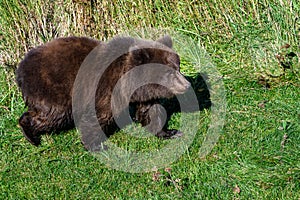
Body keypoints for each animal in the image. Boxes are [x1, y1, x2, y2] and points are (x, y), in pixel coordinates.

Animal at [15, 35, 190, 150]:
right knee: (53, 114)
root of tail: (20, 69)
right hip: (52, 87)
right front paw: (97, 146)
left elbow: (151, 111)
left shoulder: (144, 94)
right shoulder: (106, 88)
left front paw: (170, 132)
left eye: (178, 67)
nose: (187, 85)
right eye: (169, 73)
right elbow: (99, 115)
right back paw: (31, 135)